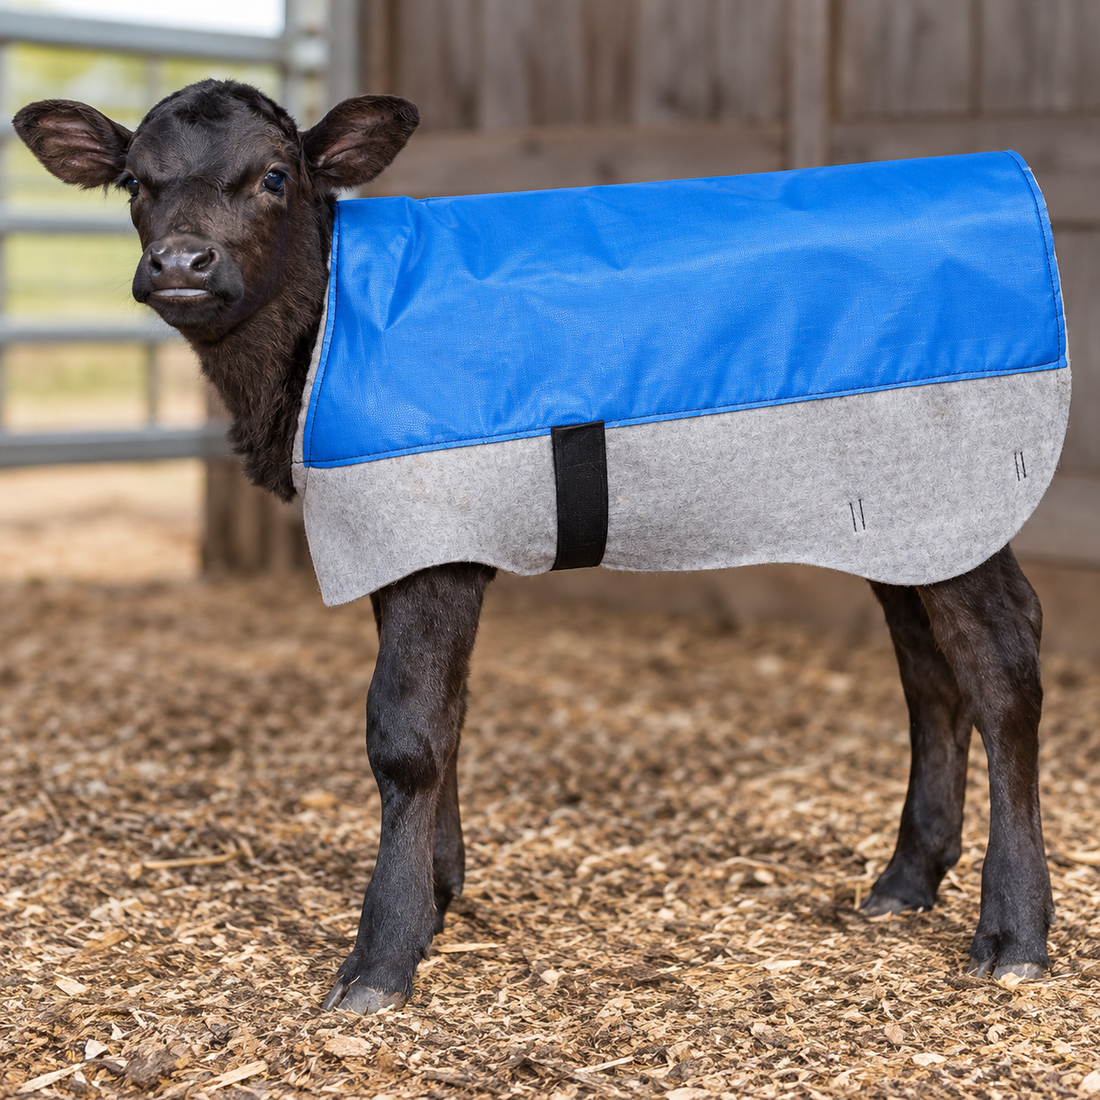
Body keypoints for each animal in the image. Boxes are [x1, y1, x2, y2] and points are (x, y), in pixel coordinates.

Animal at [12, 80, 1066, 1014]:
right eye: (135, 180)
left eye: (275, 175)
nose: (181, 263)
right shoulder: (402, 534)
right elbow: (447, 715)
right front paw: (439, 895)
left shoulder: (432, 537)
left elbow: (404, 734)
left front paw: (382, 958)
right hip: (898, 515)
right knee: (929, 671)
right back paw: (906, 880)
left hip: (961, 480)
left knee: (1003, 662)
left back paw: (1014, 934)